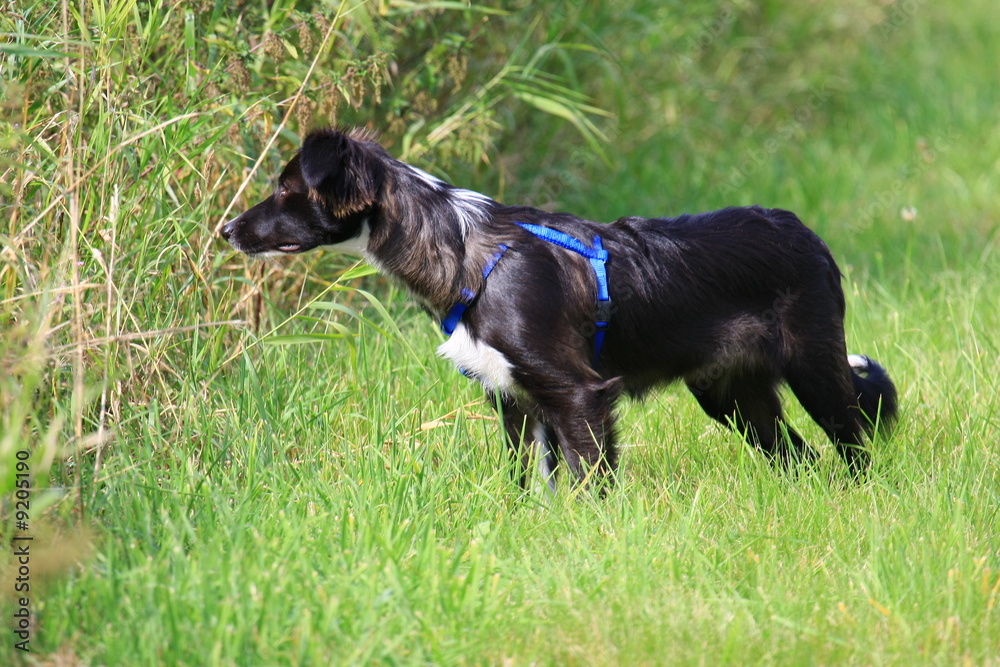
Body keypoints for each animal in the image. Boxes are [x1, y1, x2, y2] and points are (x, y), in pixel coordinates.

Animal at [221, 128, 900, 490]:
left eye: (284, 190)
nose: (227, 229)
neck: (463, 251)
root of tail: (806, 233)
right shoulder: (516, 399)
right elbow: (531, 483)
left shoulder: (577, 393)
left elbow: (591, 481)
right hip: (731, 393)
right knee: (798, 455)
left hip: (813, 366)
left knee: (853, 440)